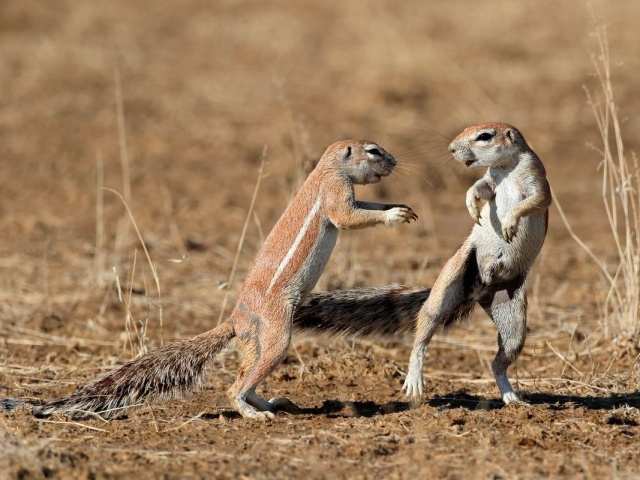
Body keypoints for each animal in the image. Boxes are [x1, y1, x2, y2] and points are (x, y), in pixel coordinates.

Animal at [1, 140, 417, 421]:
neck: (327, 169)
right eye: (373, 151)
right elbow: (349, 217)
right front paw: (393, 215)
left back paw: (269, 402)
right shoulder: (335, 195)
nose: (395, 161)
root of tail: (235, 319)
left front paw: (400, 208)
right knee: (236, 386)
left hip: (254, 343)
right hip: (277, 334)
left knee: (246, 375)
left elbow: (364, 207)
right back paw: (254, 414)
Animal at [294, 122, 551, 405]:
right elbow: (480, 188)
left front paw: (509, 222)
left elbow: (535, 200)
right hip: (451, 278)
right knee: (424, 331)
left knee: (499, 362)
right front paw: (472, 204)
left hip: (512, 313)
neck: (506, 168)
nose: (451, 148)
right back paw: (415, 378)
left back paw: (512, 398)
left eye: (484, 136)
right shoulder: (491, 180)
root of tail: (477, 290)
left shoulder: (536, 178)